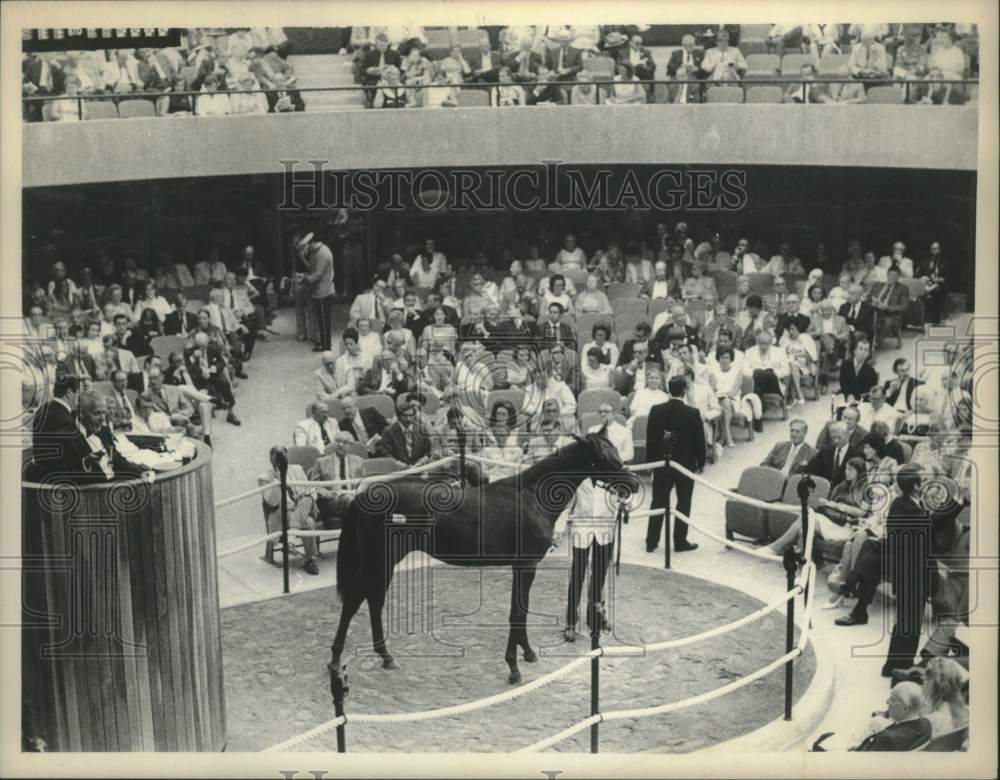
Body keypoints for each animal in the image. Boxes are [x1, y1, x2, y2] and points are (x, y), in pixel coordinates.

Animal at [330, 432, 640, 684]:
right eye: (603, 457)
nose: (634, 484)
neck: (531, 496)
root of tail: (363, 497)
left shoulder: (520, 567)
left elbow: (520, 610)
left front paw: (527, 654)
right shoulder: (527, 566)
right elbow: (517, 613)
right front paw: (514, 668)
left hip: (385, 562)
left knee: (373, 601)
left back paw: (385, 657)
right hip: (377, 560)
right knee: (356, 601)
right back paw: (337, 660)